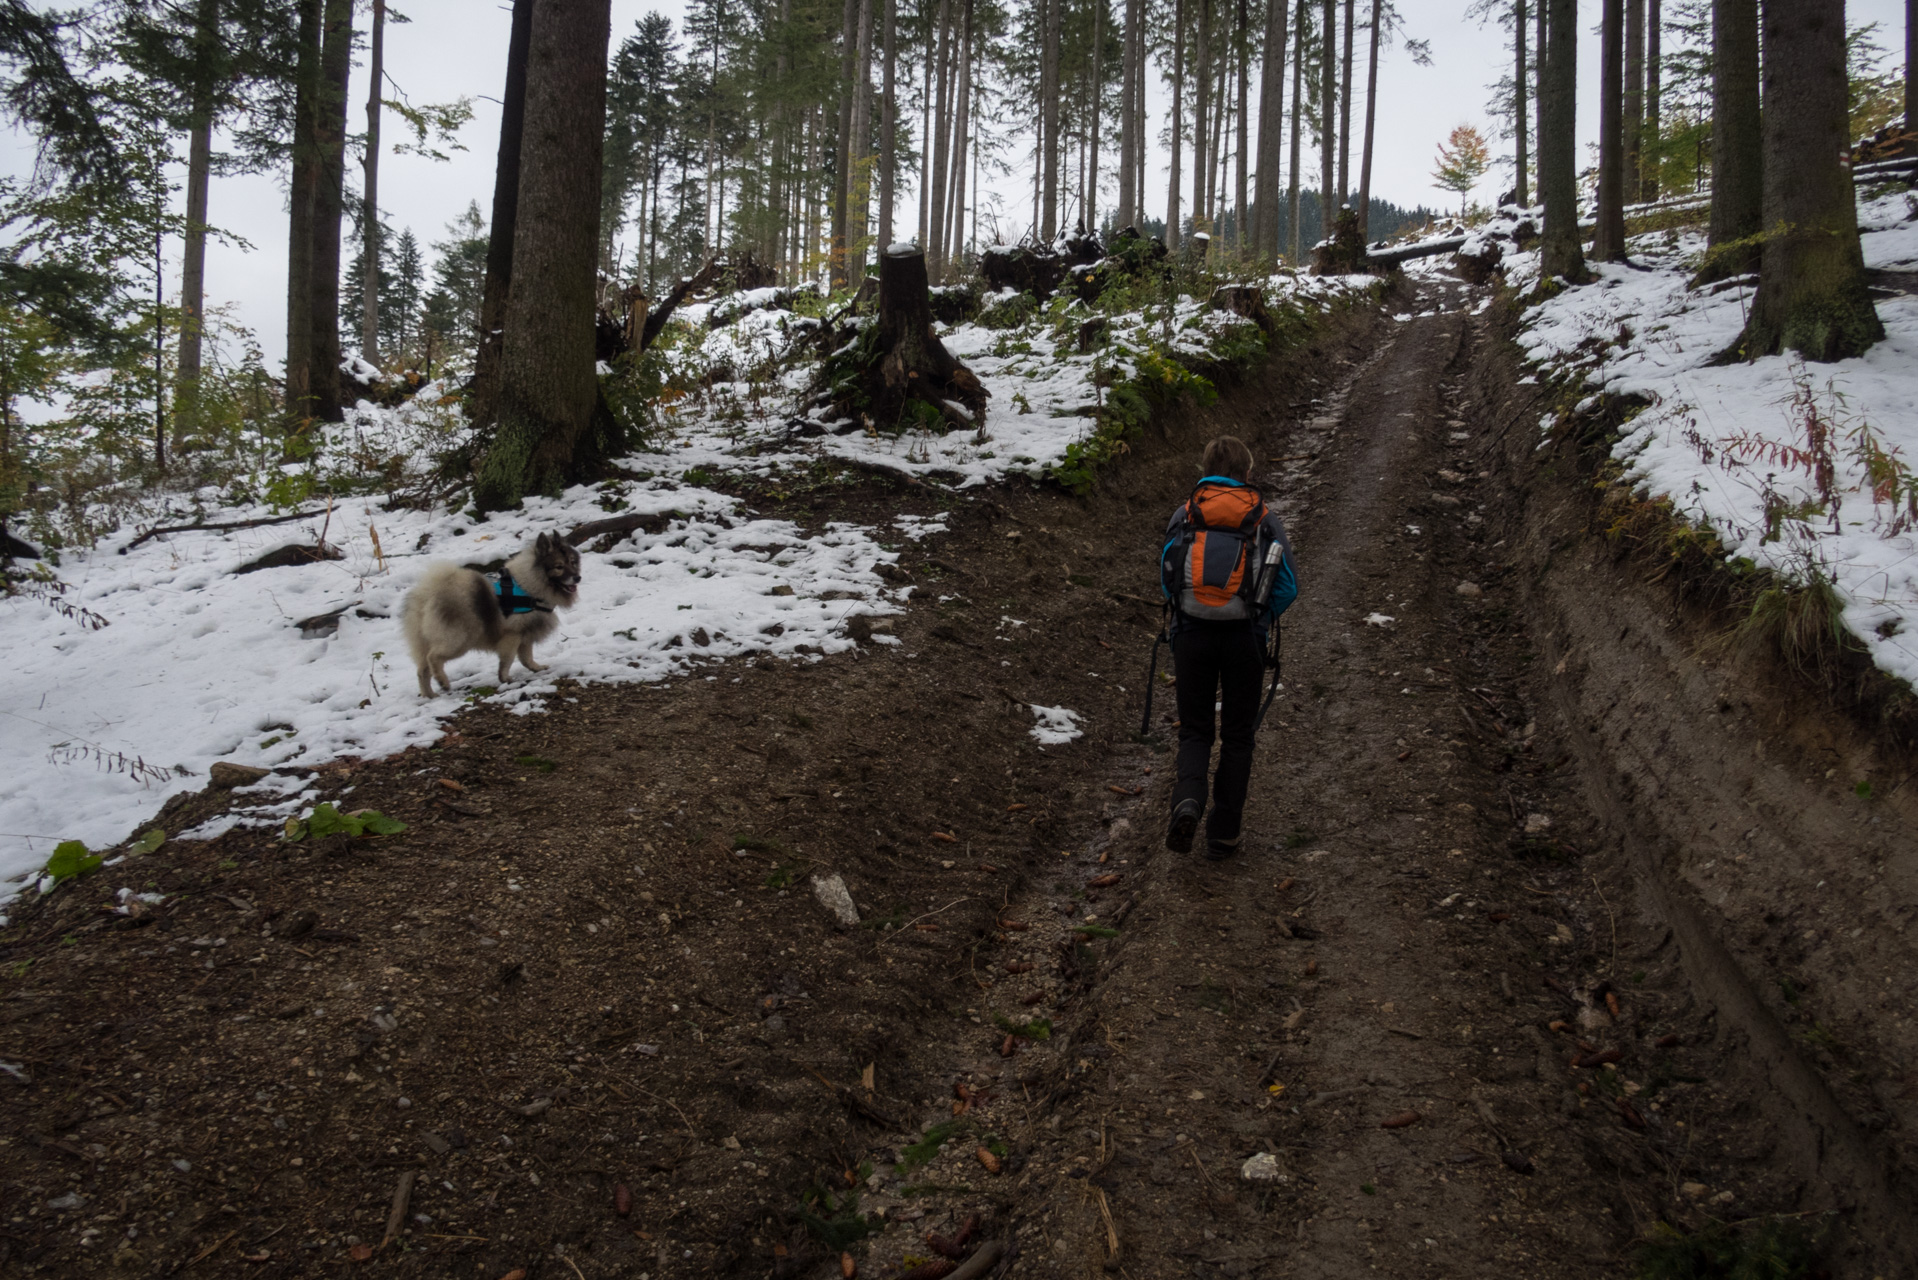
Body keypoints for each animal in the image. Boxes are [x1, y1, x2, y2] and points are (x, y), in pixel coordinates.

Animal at [400, 537, 579, 706]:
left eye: (573, 562)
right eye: (559, 566)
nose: (577, 577)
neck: (529, 585)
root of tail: (428, 593)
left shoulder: (525, 634)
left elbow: (526, 657)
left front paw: (536, 668)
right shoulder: (512, 635)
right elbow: (508, 659)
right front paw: (505, 678)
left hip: (426, 641)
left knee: (422, 671)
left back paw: (429, 695)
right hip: (460, 640)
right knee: (433, 658)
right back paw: (443, 682)